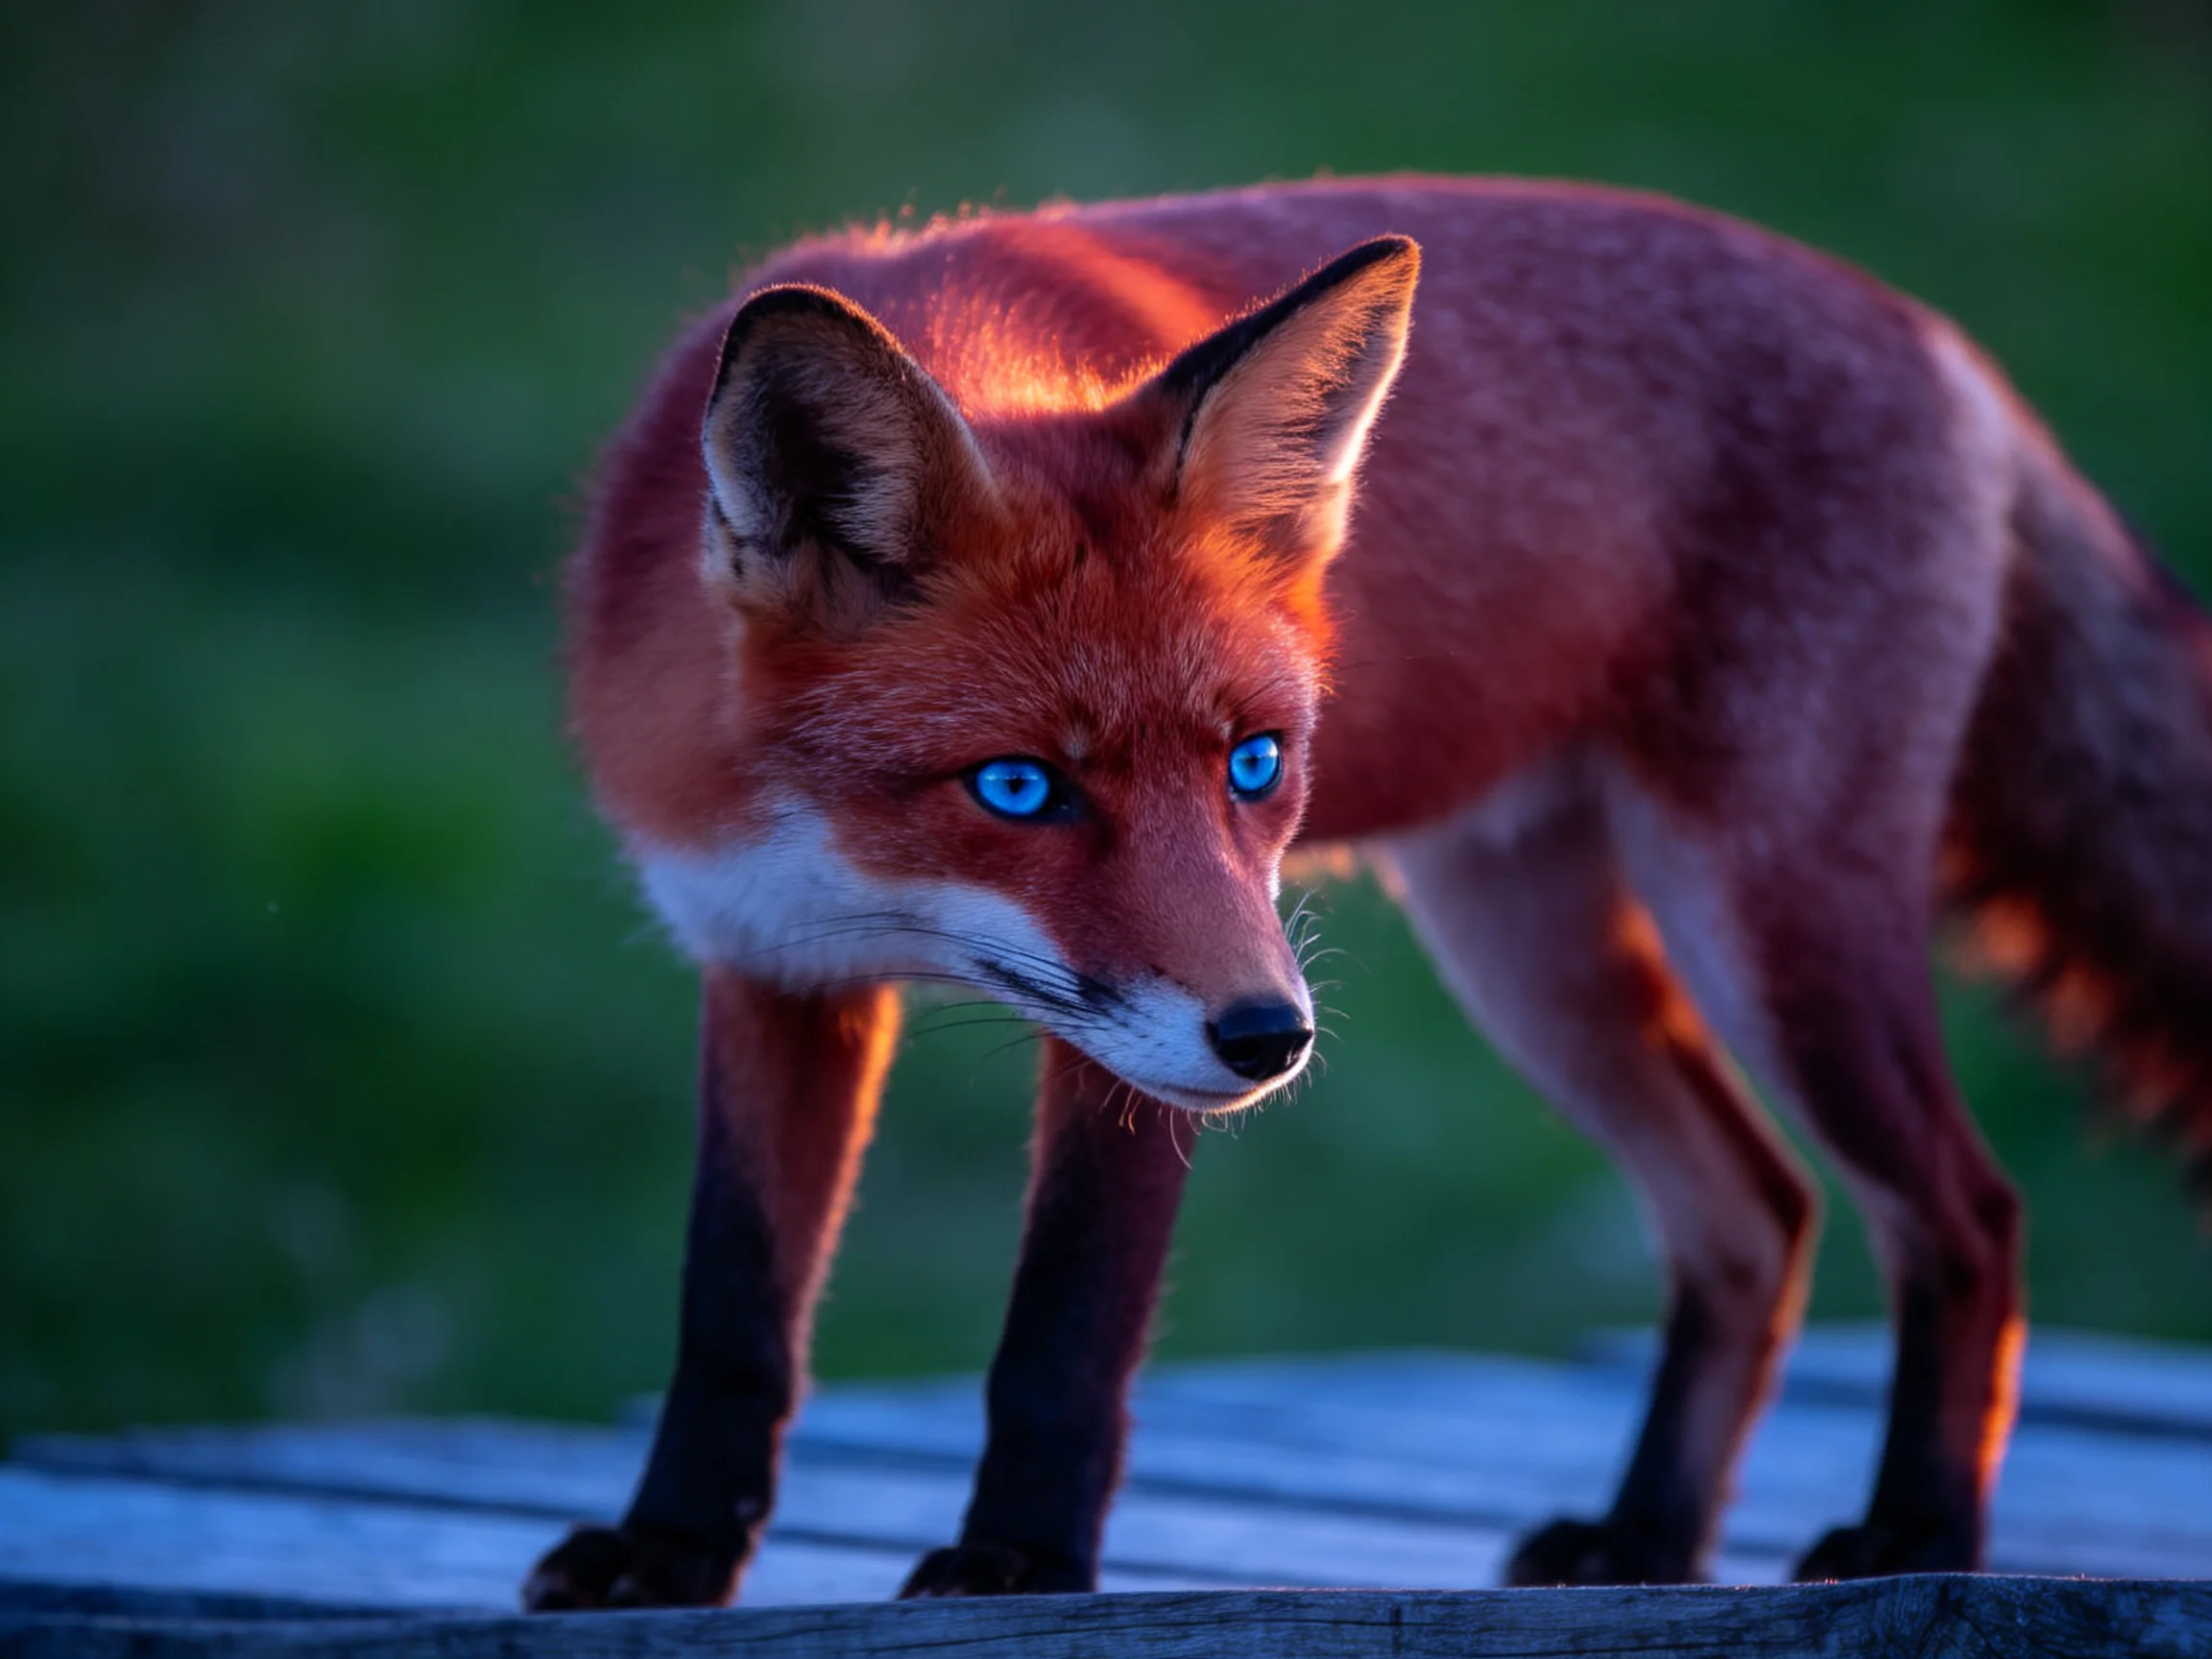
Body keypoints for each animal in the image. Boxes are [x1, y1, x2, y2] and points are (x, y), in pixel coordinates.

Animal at [520, 176, 2212, 1609]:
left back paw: (1917, 1531)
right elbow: (734, 1310)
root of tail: (1935, 337)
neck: (851, 871)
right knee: (1758, 1211)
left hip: (1771, 929)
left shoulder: (1144, 1030)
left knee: (1965, 1213)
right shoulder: (769, 963)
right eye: (1020, 787)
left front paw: (1017, 1564)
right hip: (1532, 957)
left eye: (1255, 762)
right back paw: (1647, 1540)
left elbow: (1068, 1329)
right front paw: (671, 1553)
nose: (1271, 1041)